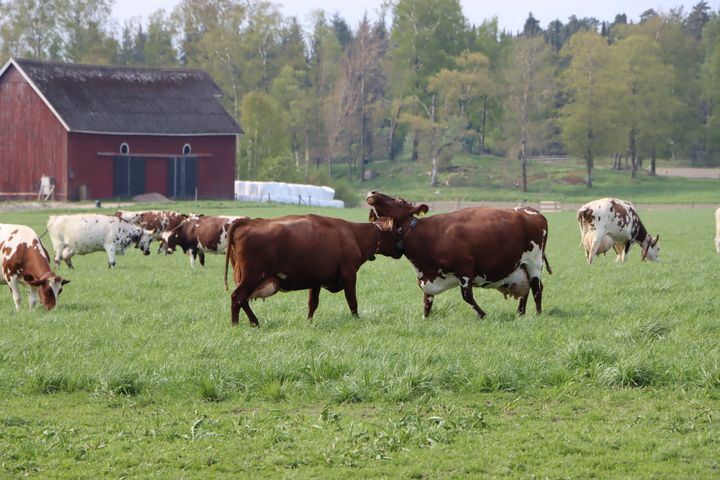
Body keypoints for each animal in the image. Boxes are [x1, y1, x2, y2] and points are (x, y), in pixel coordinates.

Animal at [224, 214, 394, 326]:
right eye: (397, 231)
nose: (399, 250)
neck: (353, 235)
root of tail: (245, 222)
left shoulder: (316, 281)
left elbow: (313, 303)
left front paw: (309, 322)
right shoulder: (349, 275)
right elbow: (352, 300)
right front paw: (357, 319)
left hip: (245, 278)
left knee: (243, 300)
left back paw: (254, 322)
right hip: (252, 277)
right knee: (237, 297)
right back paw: (235, 325)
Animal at [366, 191, 552, 318]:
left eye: (398, 200)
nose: (372, 192)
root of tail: (530, 210)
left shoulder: (465, 266)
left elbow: (467, 296)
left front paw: (483, 315)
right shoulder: (427, 279)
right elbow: (427, 302)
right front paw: (425, 318)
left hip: (534, 262)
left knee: (537, 288)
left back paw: (538, 314)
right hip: (520, 267)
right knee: (526, 291)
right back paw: (520, 314)